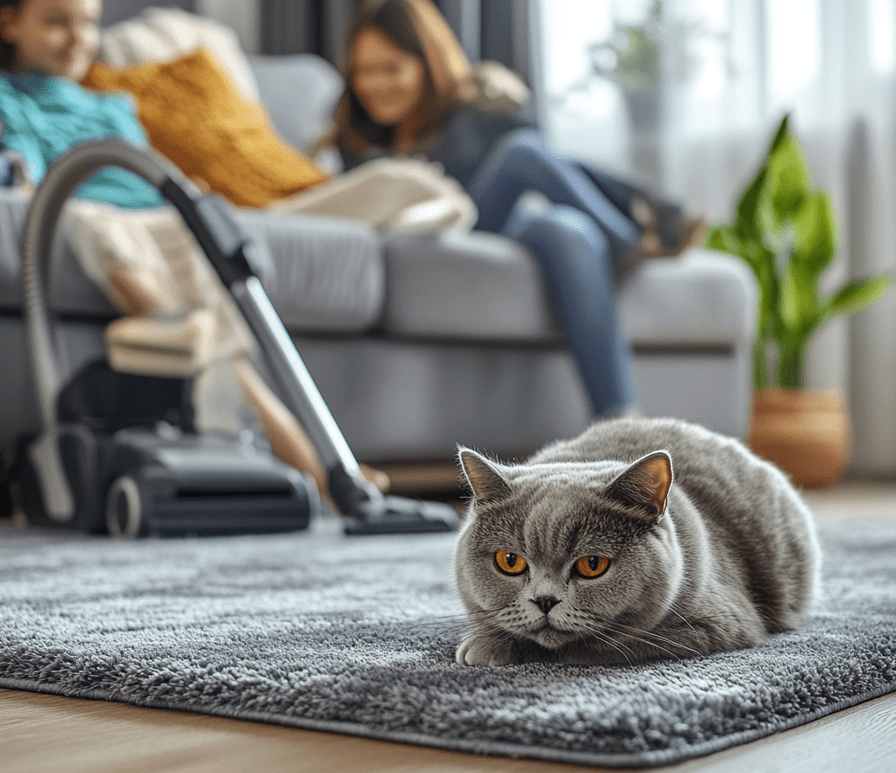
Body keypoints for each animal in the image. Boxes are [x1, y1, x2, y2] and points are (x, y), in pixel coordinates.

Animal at [456, 416, 820, 664]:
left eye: (592, 565)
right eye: (509, 561)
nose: (545, 601)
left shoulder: (719, 623)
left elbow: (603, 644)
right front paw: (485, 644)